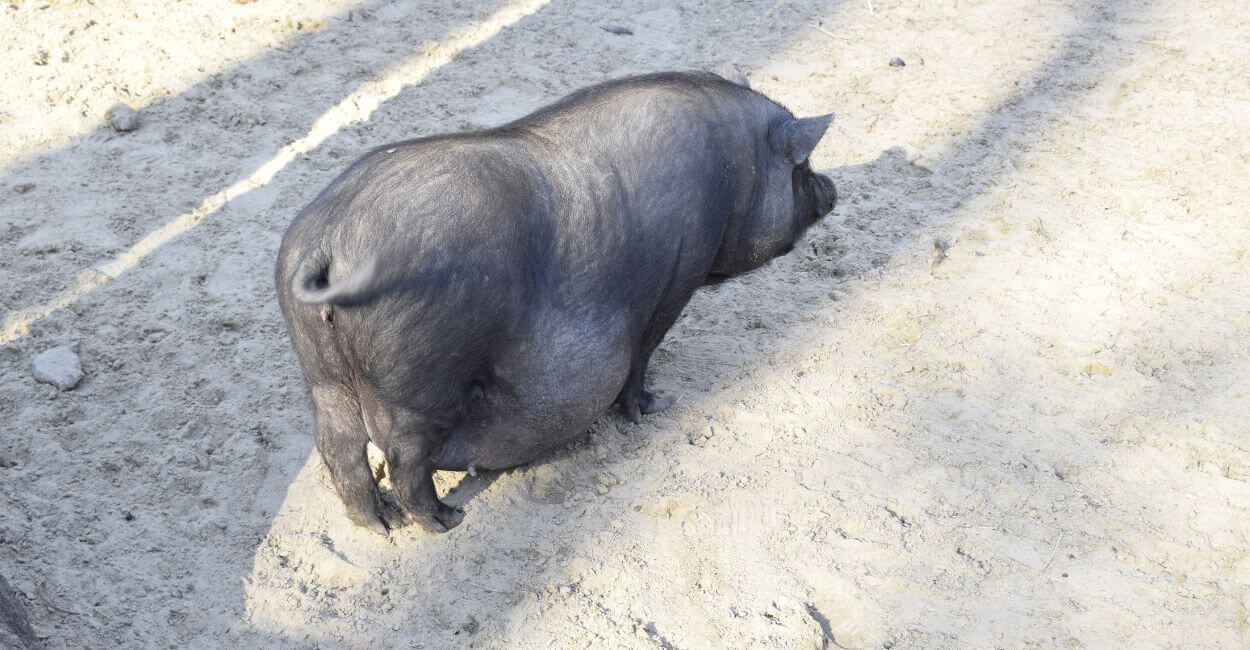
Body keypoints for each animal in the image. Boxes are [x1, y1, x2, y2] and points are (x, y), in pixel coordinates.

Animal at [275, 73, 840, 535]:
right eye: (802, 165)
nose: (833, 189)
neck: (737, 175)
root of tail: (329, 241)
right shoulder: (676, 282)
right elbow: (642, 354)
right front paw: (655, 407)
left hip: (322, 375)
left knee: (339, 448)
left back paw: (380, 524)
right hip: (416, 381)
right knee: (402, 458)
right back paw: (446, 520)